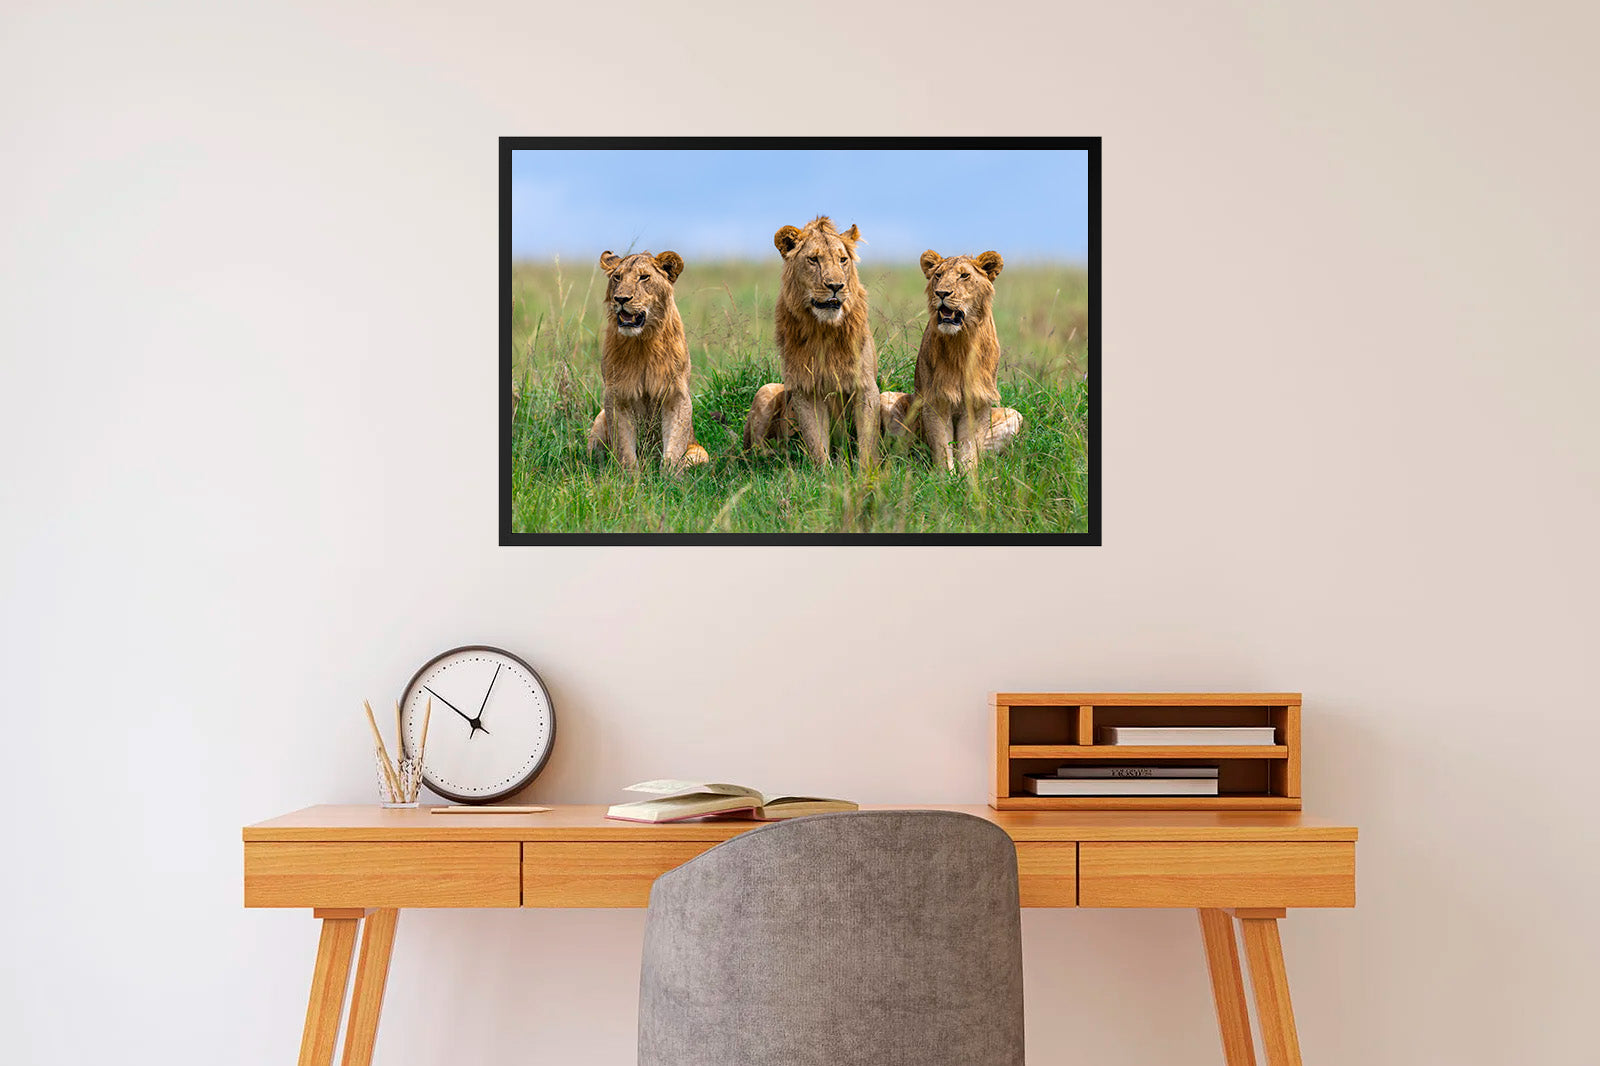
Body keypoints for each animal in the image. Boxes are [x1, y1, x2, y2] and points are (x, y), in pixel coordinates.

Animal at [586, 250, 709, 472]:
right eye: (617, 277)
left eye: (644, 277)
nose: (621, 298)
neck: (642, 342)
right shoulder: (617, 395)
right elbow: (625, 450)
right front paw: (630, 478)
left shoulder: (676, 394)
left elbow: (674, 447)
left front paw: (669, 477)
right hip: (599, 421)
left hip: (701, 454)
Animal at [741, 216, 879, 467]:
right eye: (813, 260)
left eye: (843, 260)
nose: (836, 286)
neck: (824, 329)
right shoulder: (805, 388)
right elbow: (816, 444)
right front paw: (826, 474)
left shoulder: (865, 386)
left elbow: (867, 442)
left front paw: (867, 473)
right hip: (766, 391)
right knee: (754, 452)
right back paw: (780, 456)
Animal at [880, 249, 1023, 471]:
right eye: (938, 275)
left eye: (964, 276)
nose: (941, 293)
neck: (961, 341)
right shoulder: (935, 400)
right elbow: (942, 448)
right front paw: (947, 477)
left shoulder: (978, 402)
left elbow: (969, 451)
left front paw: (968, 478)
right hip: (886, 399)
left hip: (1015, 416)